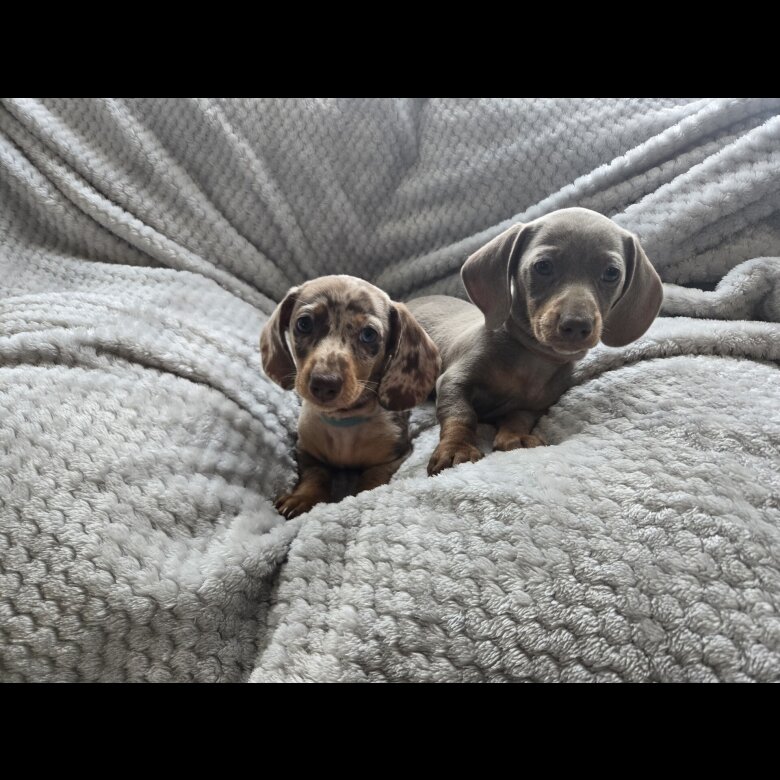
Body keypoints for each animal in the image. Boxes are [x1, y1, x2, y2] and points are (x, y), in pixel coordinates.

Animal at [261, 274, 440, 518]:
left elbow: (372, 479)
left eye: (369, 334)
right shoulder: (306, 452)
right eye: (304, 323)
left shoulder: (393, 457)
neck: (343, 422)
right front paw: (302, 498)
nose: (324, 383)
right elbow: (315, 476)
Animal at [407, 207, 663, 475]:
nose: (576, 325)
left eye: (612, 273)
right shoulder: (454, 381)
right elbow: (461, 414)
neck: (532, 359)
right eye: (543, 266)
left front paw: (514, 437)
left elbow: (519, 418)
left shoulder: (534, 406)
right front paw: (457, 447)